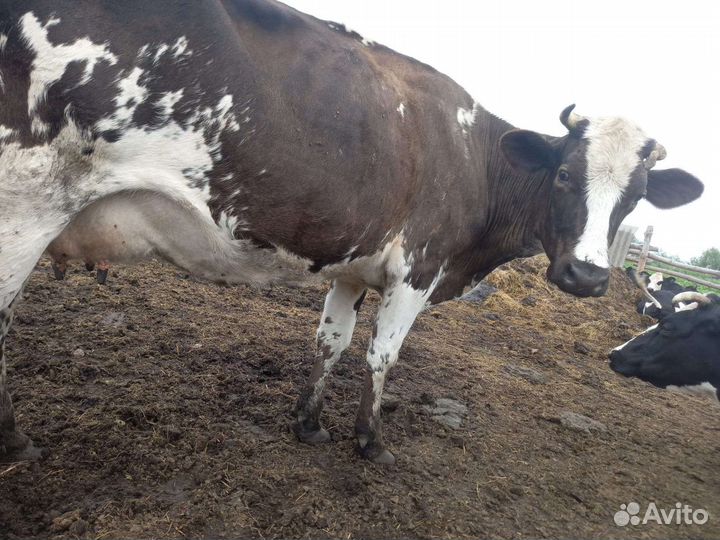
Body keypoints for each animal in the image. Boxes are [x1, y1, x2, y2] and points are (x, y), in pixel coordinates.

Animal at [0, 0, 705, 464]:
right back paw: (16, 441)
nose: (586, 275)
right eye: (563, 175)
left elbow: (331, 342)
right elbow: (382, 354)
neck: (478, 159)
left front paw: (309, 423)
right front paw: (370, 441)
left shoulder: (352, 265)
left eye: (636, 195)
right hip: (25, 205)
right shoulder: (418, 269)